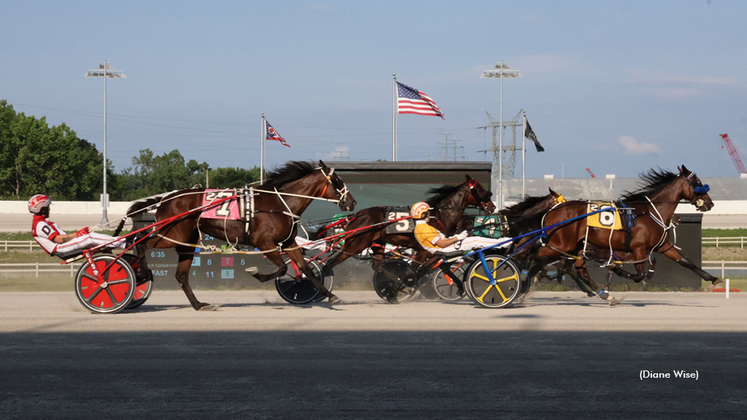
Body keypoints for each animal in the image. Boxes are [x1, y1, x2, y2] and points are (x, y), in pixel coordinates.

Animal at [126, 160, 356, 308]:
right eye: (337, 180)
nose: (352, 202)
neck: (279, 203)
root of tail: (166, 199)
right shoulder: (264, 242)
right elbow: (282, 268)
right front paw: (256, 273)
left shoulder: (289, 242)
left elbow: (306, 269)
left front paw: (330, 295)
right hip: (173, 234)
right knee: (140, 241)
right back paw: (142, 273)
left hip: (185, 240)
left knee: (181, 275)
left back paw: (199, 304)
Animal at [528, 164, 716, 302]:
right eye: (698, 182)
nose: (710, 203)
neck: (651, 212)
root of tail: (553, 210)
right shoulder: (638, 248)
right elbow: (638, 274)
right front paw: (619, 270)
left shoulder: (663, 246)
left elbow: (686, 262)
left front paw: (712, 278)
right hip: (561, 244)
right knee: (535, 256)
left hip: (572, 247)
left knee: (569, 266)